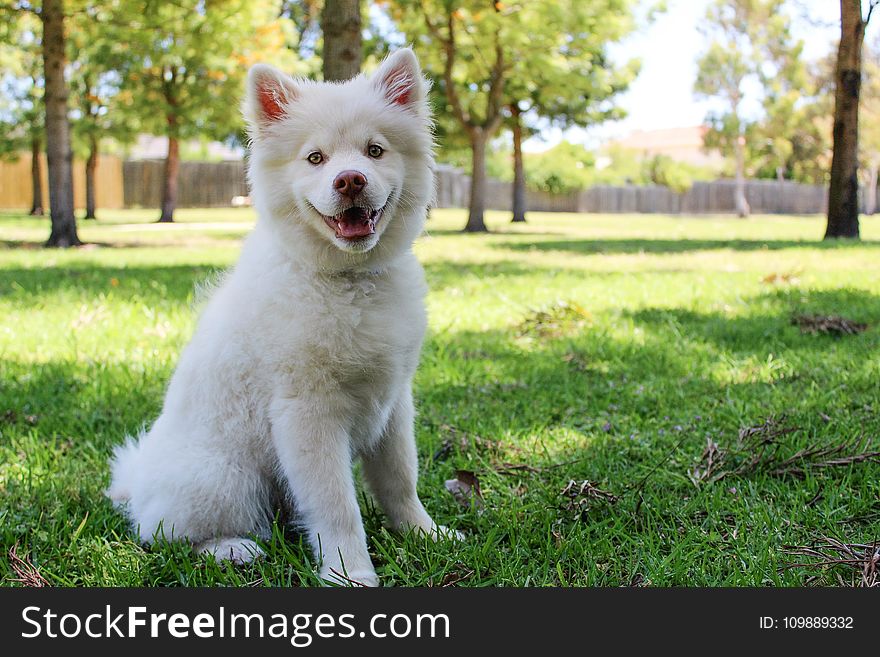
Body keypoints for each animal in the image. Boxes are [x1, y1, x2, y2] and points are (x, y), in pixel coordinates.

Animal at [107, 50, 454, 584]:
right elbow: (337, 506)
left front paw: (426, 536)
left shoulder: (394, 402)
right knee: (164, 534)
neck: (348, 281)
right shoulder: (307, 413)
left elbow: (400, 481)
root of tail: (138, 482)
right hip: (226, 479)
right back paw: (232, 549)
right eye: (315, 158)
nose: (349, 179)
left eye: (375, 151)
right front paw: (350, 573)